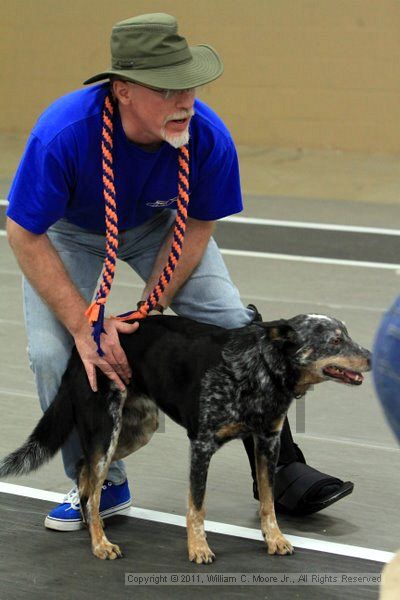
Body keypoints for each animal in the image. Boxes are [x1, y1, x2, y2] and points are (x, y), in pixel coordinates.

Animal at [0, 314, 370, 564]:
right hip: (107, 432)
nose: (369, 356)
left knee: (84, 472)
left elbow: (267, 501)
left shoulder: (268, 442)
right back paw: (100, 543)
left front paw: (274, 538)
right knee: (91, 487)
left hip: (139, 429)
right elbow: (197, 506)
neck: (257, 368)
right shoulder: (202, 445)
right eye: (335, 341)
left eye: (348, 335)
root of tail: (83, 352)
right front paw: (198, 548)